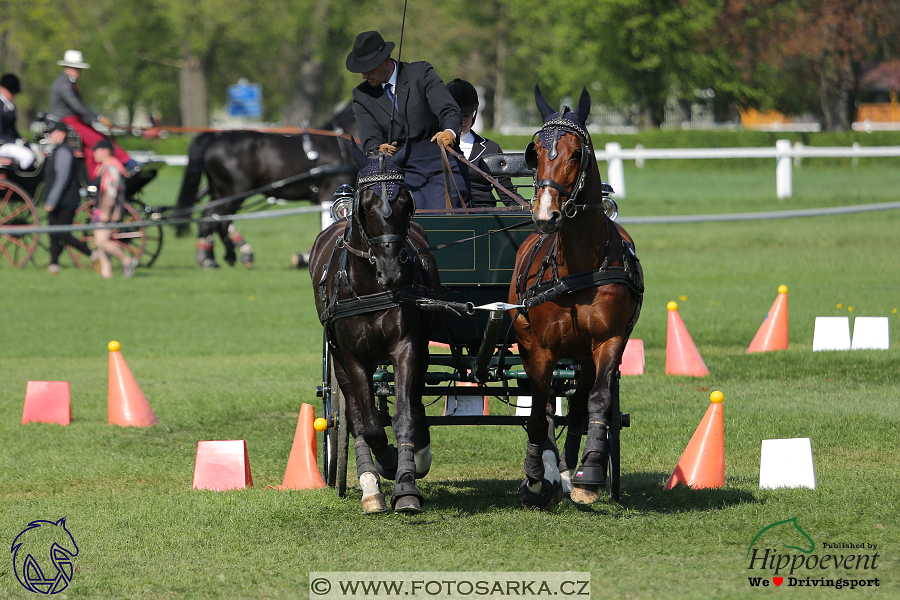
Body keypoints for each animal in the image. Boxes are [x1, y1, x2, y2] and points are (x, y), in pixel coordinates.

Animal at [176, 106, 358, 268]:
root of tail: (215, 136)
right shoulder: (329, 193)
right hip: (234, 192)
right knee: (220, 221)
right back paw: (231, 255)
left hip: (220, 192)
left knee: (211, 220)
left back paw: (214, 256)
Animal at [308, 142, 442, 516]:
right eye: (365, 205)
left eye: (406, 202)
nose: (391, 270)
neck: (369, 287)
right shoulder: (352, 357)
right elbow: (369, 426)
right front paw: (387, 465)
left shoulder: (408, 346)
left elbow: (405, 416)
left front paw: (407, 484)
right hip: (340, 360)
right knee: (353, 418)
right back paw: (370, 486)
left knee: (412, 404)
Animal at [510, 83, 644, 506]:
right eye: (534, 153)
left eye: (576, 153)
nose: (545, 215)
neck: (578, 268)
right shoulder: (540, 347)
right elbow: (539, 410)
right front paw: (535, 476)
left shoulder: (608, 341)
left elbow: (597, 401)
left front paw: (591, 473)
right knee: (547, 405)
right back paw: (550, 470)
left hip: (584, 354)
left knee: (579, 403)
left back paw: (570, 470)